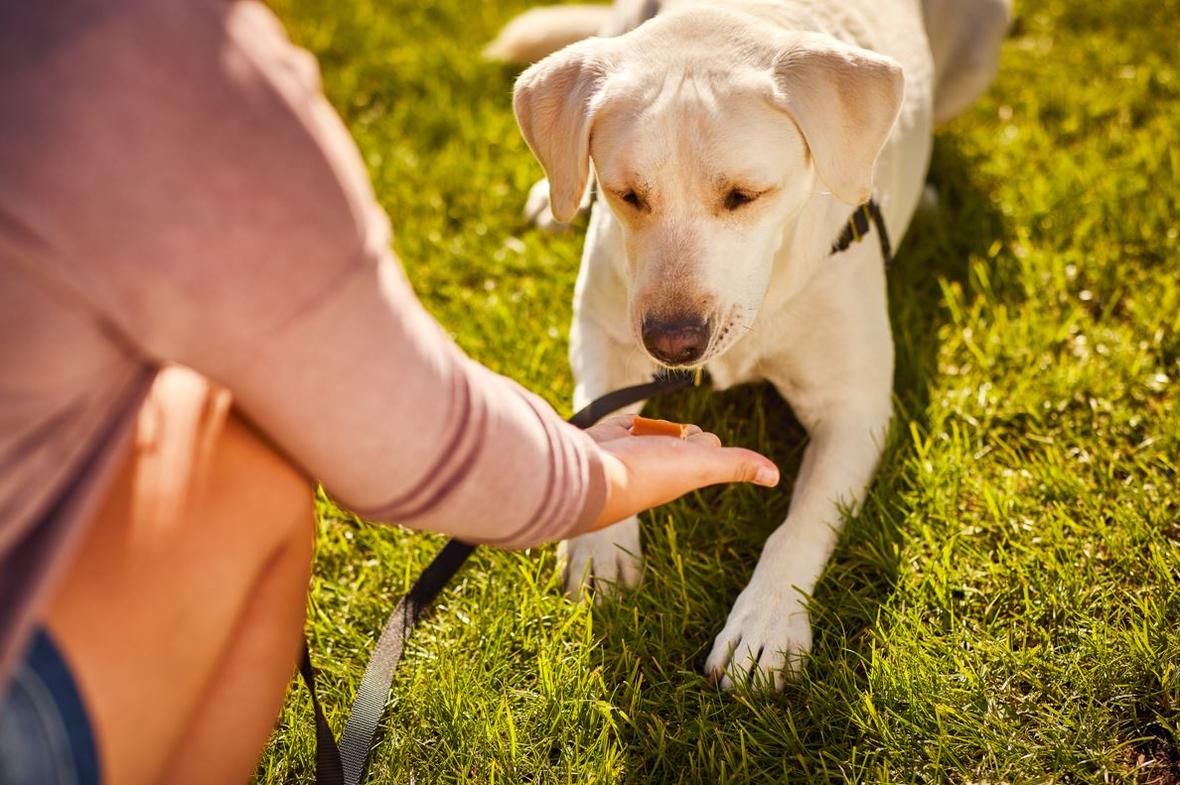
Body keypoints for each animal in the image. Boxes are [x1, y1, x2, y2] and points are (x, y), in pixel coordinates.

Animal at [490, 0, 1014, 684]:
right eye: (628, 195)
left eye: (744, 195)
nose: (673, 344)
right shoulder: (602, 338)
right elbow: (600, 436)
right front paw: (599, 544)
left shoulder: (856, 410)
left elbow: (801, 522)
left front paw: (765, 623)